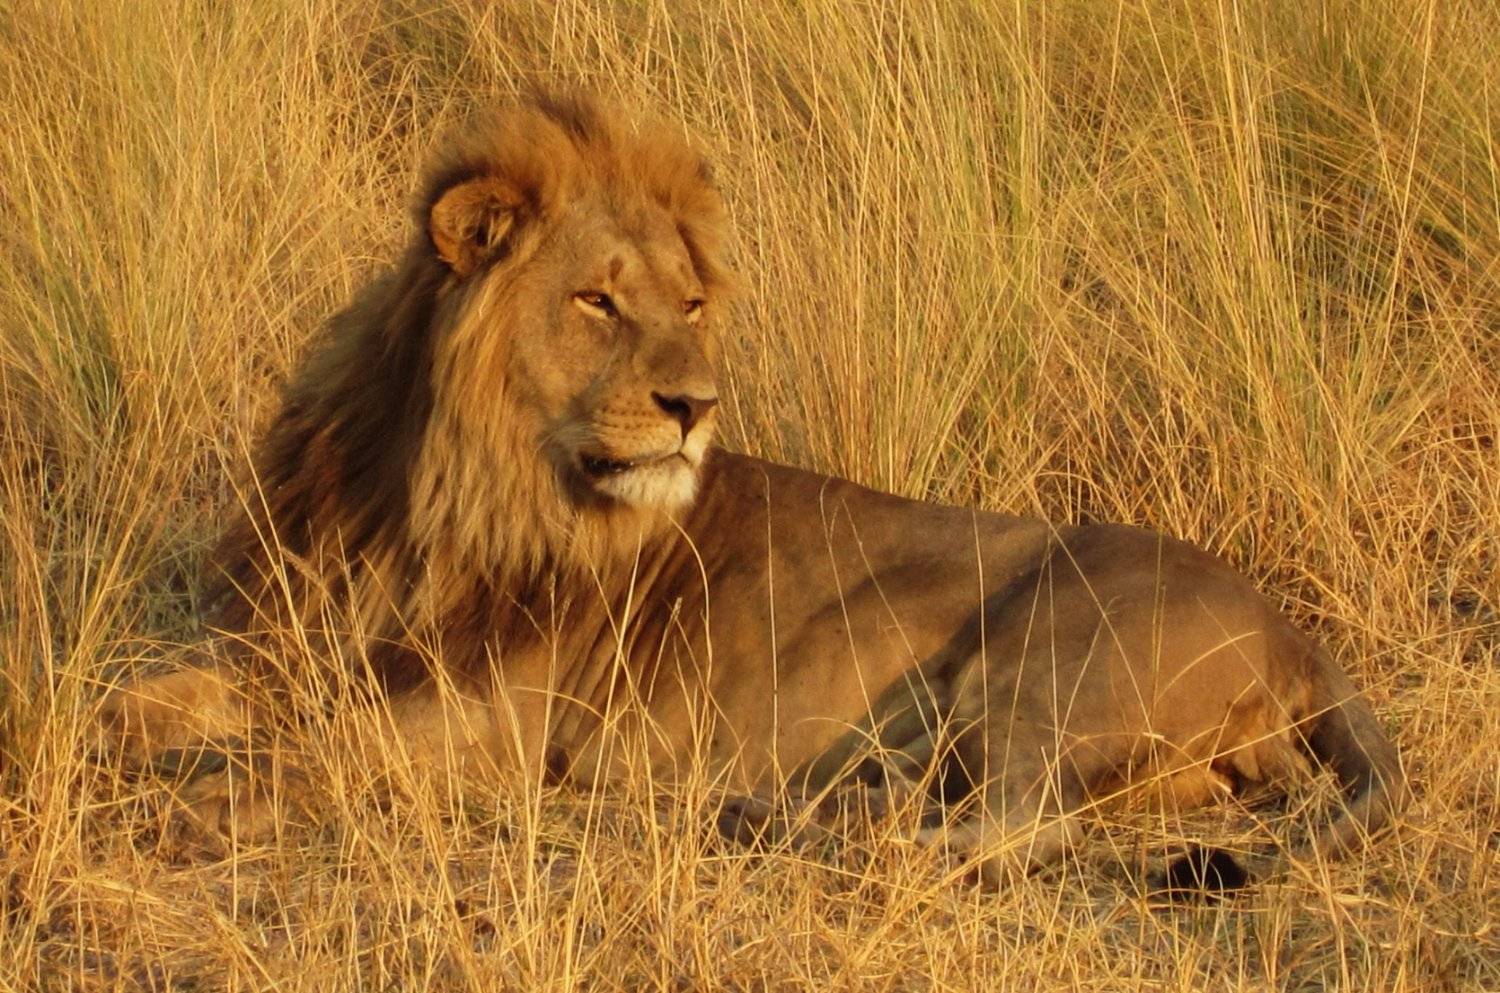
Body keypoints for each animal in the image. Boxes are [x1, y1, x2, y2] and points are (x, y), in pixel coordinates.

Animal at [102, 91, 1404, 888]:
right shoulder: (292, 647)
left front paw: (191, 812)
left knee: (1014, 823)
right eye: (596, 300)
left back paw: (816, 829)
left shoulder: (492, 722)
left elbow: (313, 754)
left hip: (1045, 658)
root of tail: (1295, 632)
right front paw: (107, 738)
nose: (698, 405)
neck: (439, 489)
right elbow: (160, 698)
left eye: (687, 303)